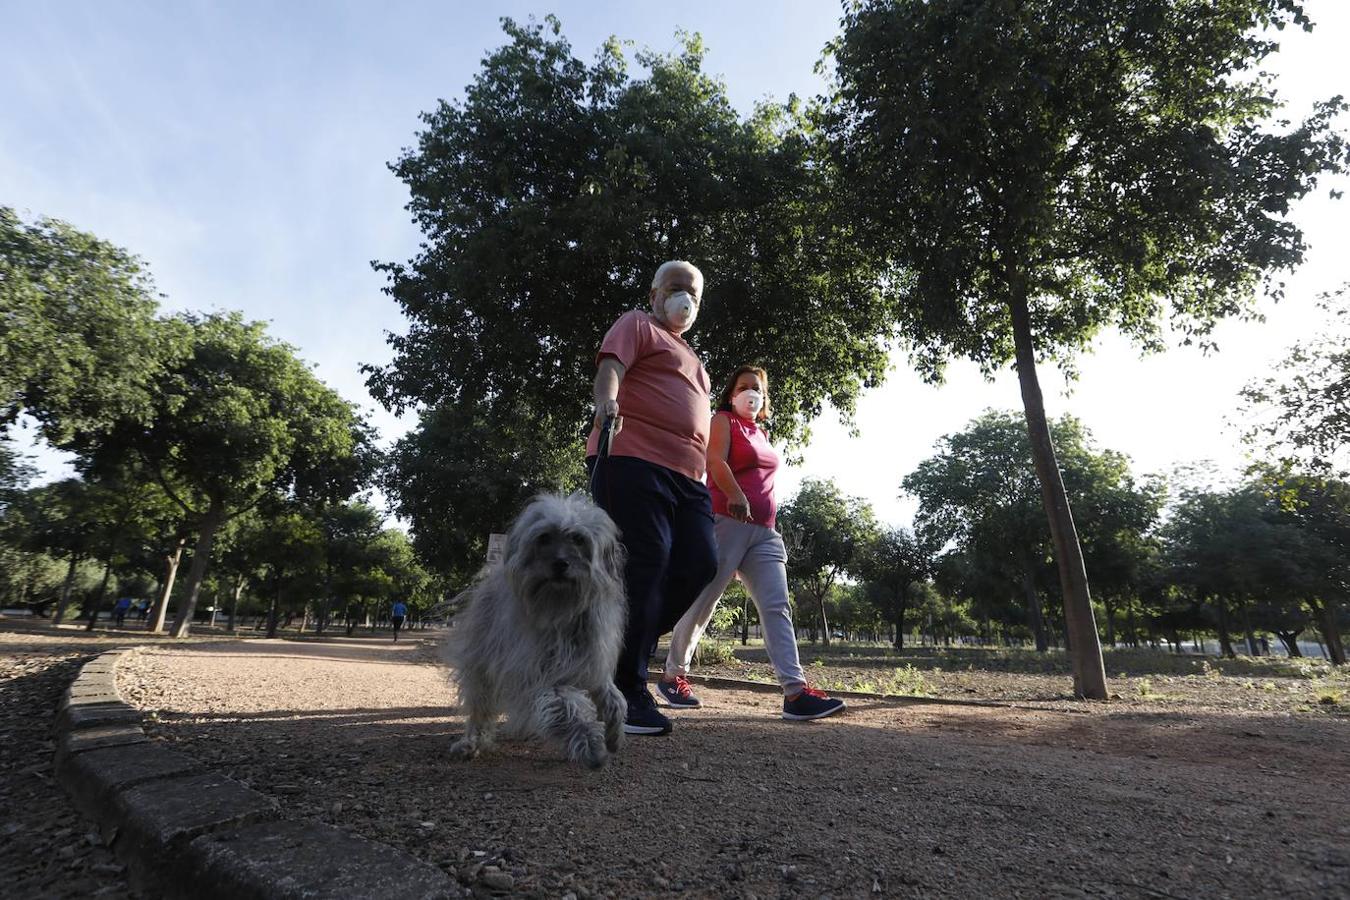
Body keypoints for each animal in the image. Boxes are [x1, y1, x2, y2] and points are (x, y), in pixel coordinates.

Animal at [445, 488, 629, 771]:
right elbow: (563, 709)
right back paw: (471, 742)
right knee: (480, 707)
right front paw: (591, 746)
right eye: (544, 538)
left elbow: (615, 700)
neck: (563, 610)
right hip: (481, 666)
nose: (560, 563)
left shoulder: (591, 665)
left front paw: (614, 734)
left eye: (578, 539)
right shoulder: (539, 674)